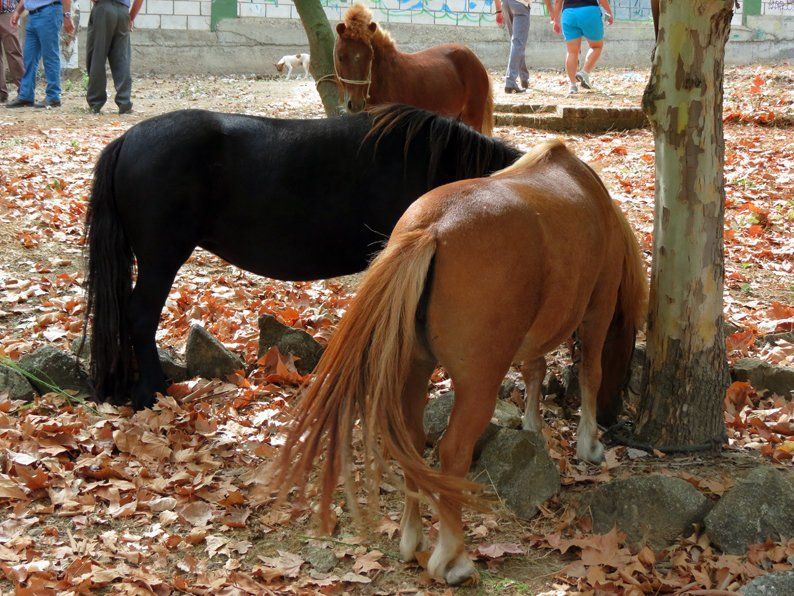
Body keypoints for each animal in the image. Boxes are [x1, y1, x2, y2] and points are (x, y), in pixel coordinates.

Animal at [272, 141, 644, 588]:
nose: (612, 416)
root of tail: (432, 229)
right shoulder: (598, 310)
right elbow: (590, 373)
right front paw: (589, 444)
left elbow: (534, 369)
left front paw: (533, 427)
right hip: (478, 383)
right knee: (453, 452)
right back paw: (454, 558)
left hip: (414, 371)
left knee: (414, 443)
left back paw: (412, 539)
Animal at [336, 4, 496, 136]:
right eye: (340, 56)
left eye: (370, 56)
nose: (356, 104)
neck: (384, 79)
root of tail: (477, 61)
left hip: (472, 119)